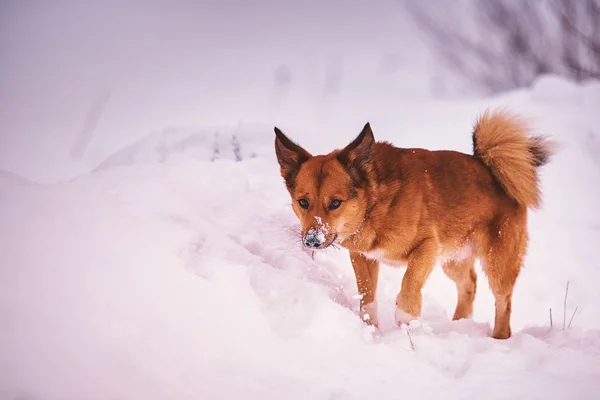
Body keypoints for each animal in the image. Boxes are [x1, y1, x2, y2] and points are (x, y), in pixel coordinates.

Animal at [272, 110, 552, 340]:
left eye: (335, 203)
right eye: (303, 202)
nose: (312, 241)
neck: (375, 205)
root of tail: (490, 166)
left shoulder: (427, 247)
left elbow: (410, 282)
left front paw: (406, 318)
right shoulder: (363, 256)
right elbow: (366, 295)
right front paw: (370, 328)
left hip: (498, 261)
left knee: (503, 301)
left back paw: (499, 337)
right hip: (453, 258)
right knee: (469, 284)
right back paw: (459, 325)